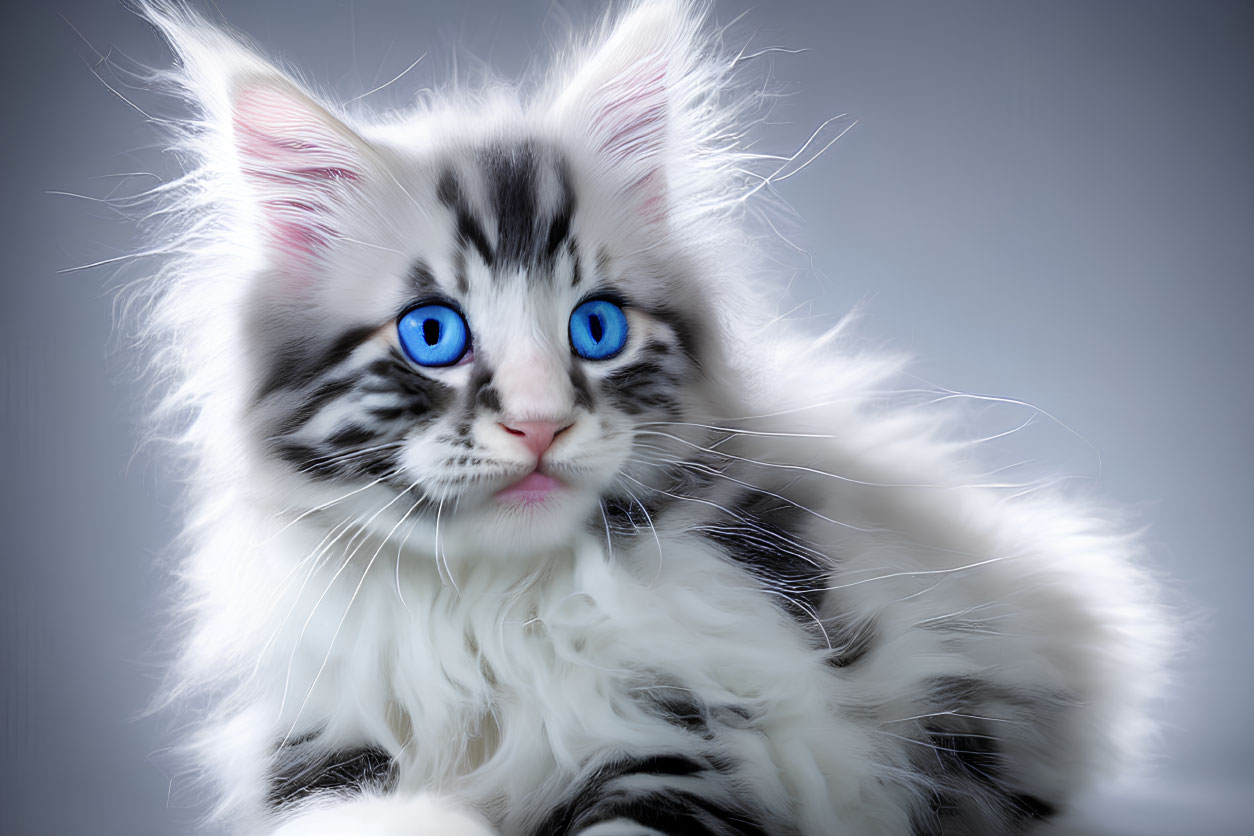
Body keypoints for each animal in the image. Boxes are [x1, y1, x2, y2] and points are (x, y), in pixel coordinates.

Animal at [137, 1, 1173, 836]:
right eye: (434, 334)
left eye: (595, 328)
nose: (541, 424)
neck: (493, 609)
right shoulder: (317, 741)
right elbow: (362, 812)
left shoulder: (703, 742)